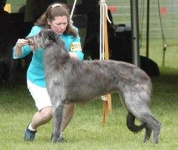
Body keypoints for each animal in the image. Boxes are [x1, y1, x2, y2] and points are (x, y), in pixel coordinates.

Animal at [26, 29, 161, 143]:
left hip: (135, 102)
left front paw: (53, 142)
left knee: (155, 123)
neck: (59, 62)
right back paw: (145, 143)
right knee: (148, 124)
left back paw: (154, 143)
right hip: (129, 101)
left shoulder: (57, 102)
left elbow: (56, 125)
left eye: (39, 35)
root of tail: (145, 75)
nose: (27, 38)